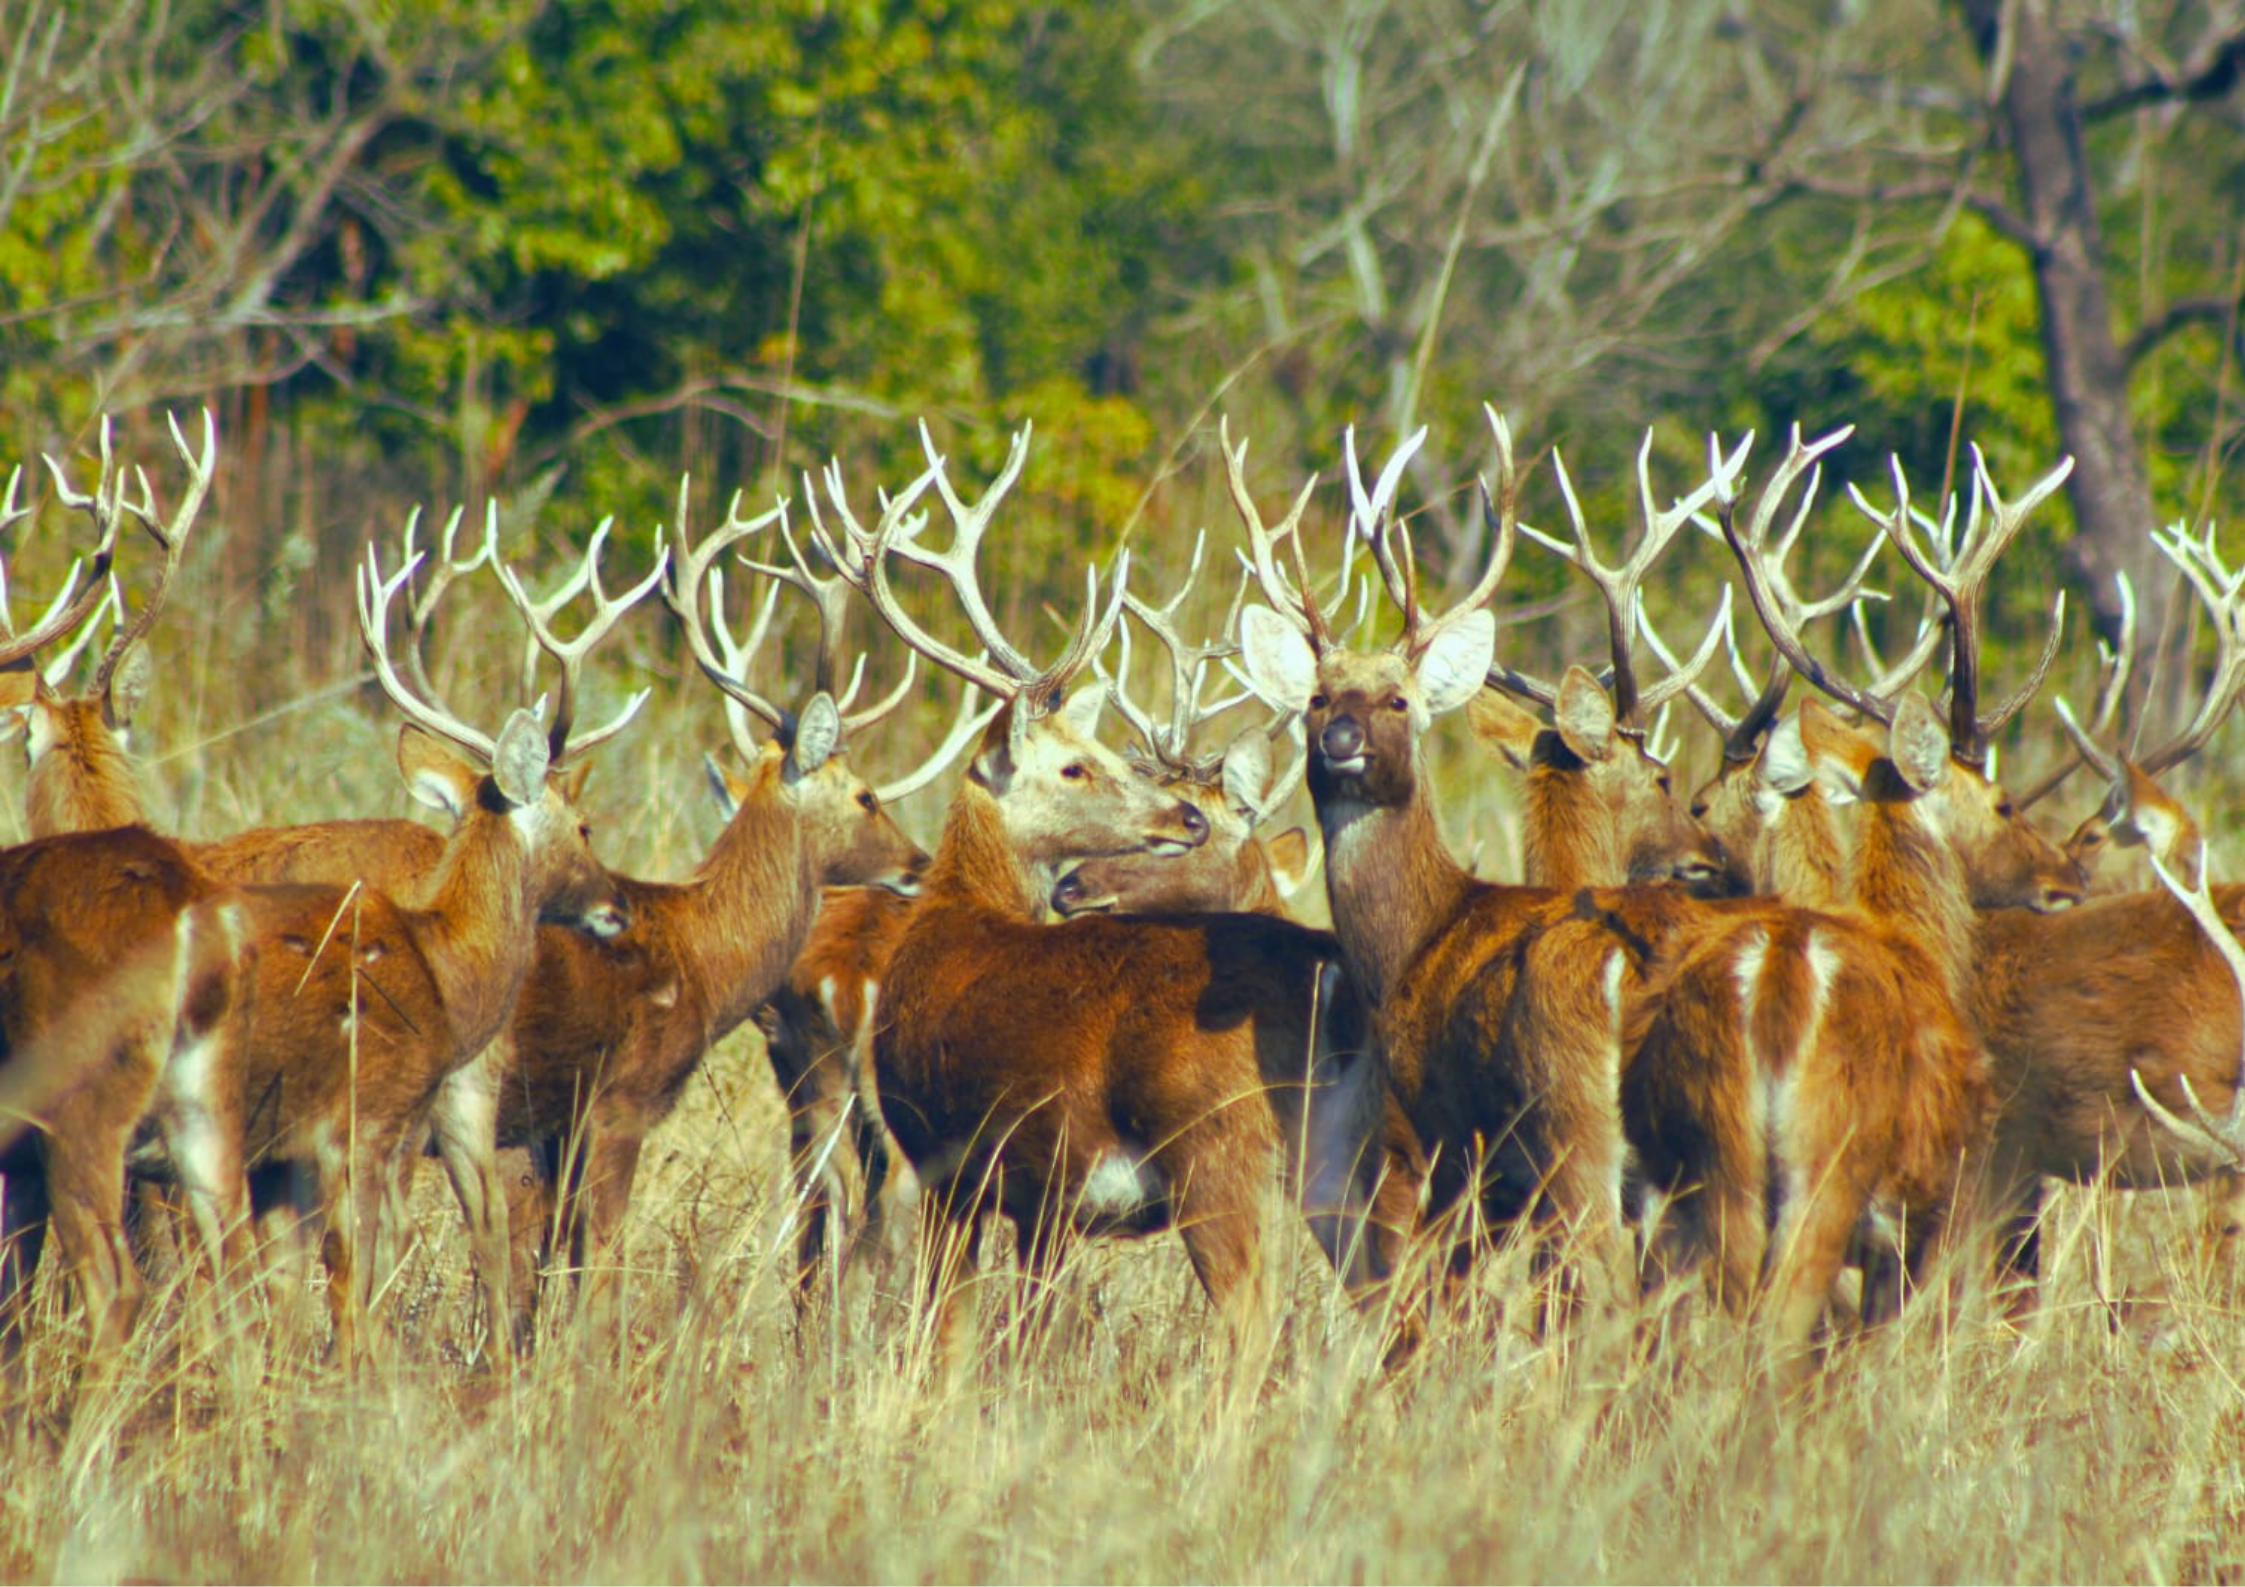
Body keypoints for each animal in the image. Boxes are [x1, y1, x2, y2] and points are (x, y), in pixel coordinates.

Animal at [808, 422, 1422, 1376]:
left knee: (1254, 1318)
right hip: (1357, 1162)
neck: (956, 915)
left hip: (1218, 1143)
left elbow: (948, 1332)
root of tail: (1336, 981)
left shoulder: (951, 1156)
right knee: (1404, 1311)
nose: (1184, 816)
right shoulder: (1042, 1196)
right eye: (1075, 764)